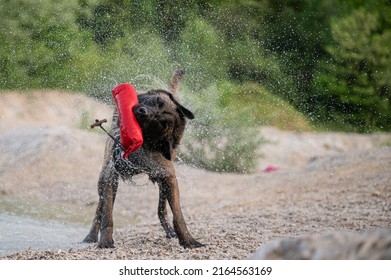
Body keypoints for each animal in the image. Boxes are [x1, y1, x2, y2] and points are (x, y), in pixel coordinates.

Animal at [84, 69, 204, 248]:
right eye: (157, 101)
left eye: (161, 123)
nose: (142, 112)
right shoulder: (110, 174)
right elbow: (107, 214)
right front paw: (105, 241)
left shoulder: (169, 176)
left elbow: (178, 214)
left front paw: (188, 239)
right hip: (103, 177)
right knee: (100, 206)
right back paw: (91, 235)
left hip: (162, 181)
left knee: (161, 208)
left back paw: (168, 230)